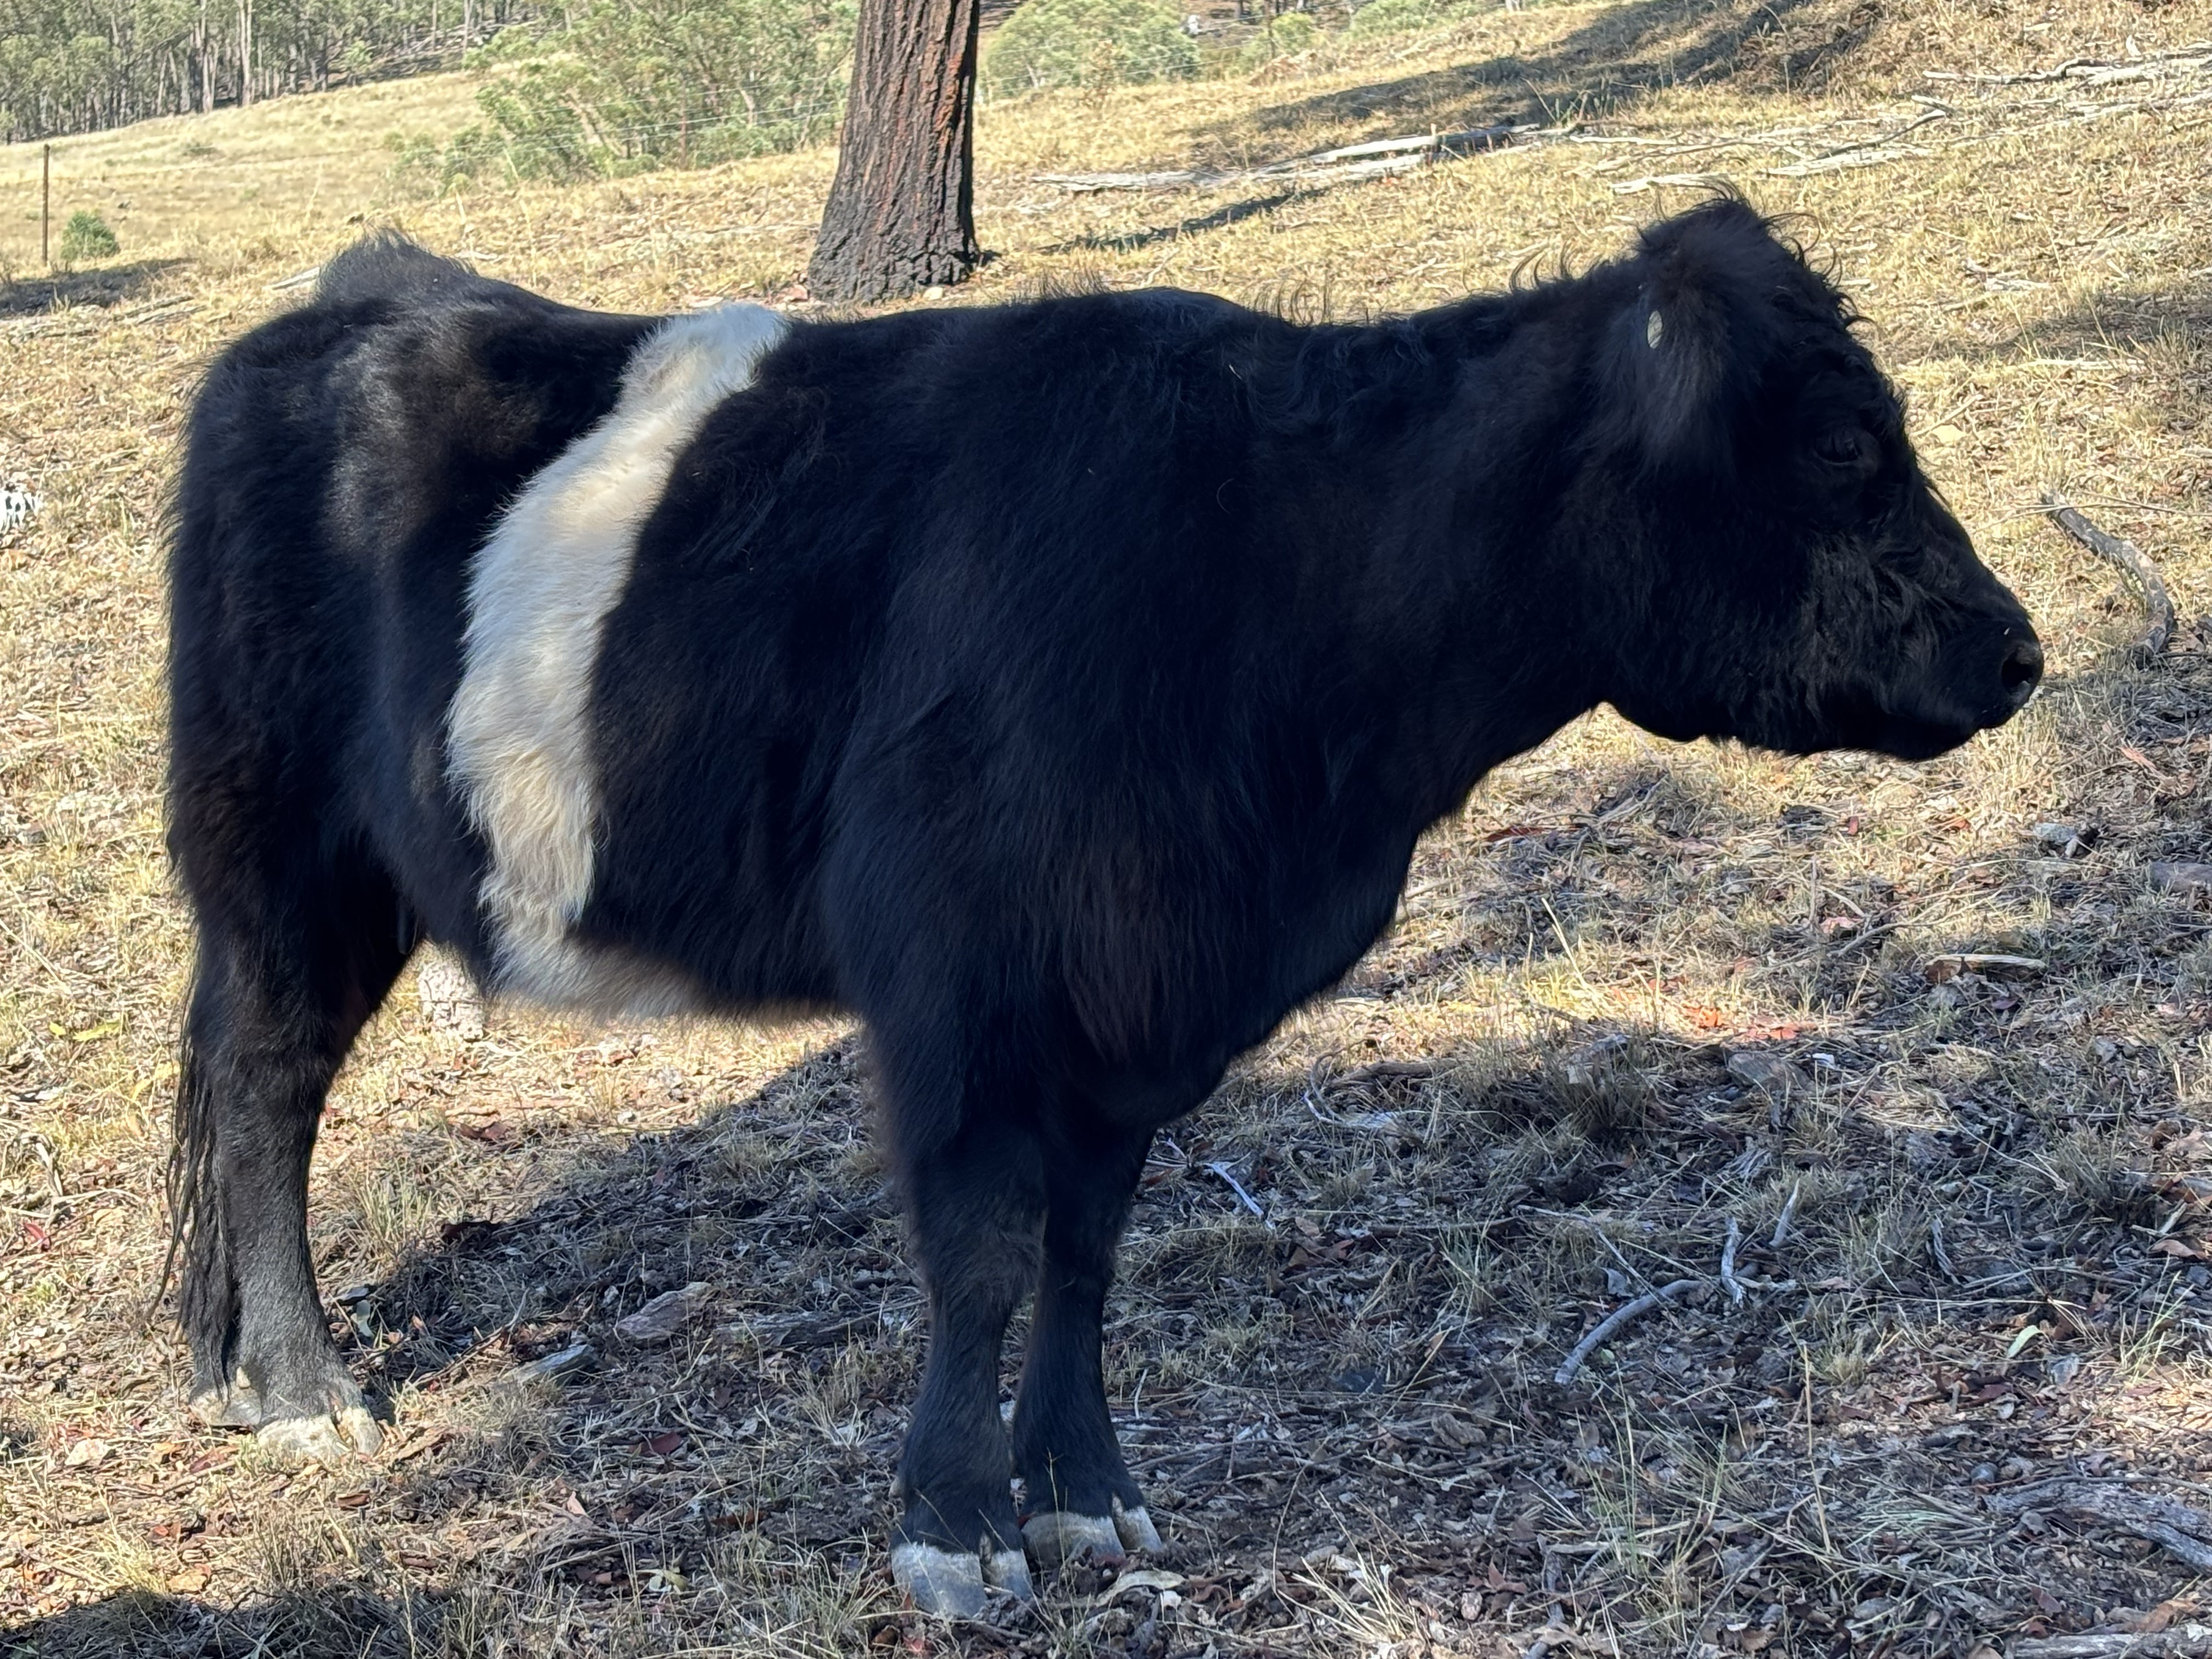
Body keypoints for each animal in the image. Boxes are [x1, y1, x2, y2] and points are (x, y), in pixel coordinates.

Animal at [164, 197, 2041, 1616]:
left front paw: (1083, 1493)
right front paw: (955, 1527)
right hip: (283, 866)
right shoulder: (962, 982)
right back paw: (306, 1391)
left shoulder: (1138, 1005)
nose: (2016, 651)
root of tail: (351, 307)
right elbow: (984, 1248)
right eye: (1845, 447)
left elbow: (1084, 1245)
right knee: (263, 1101)